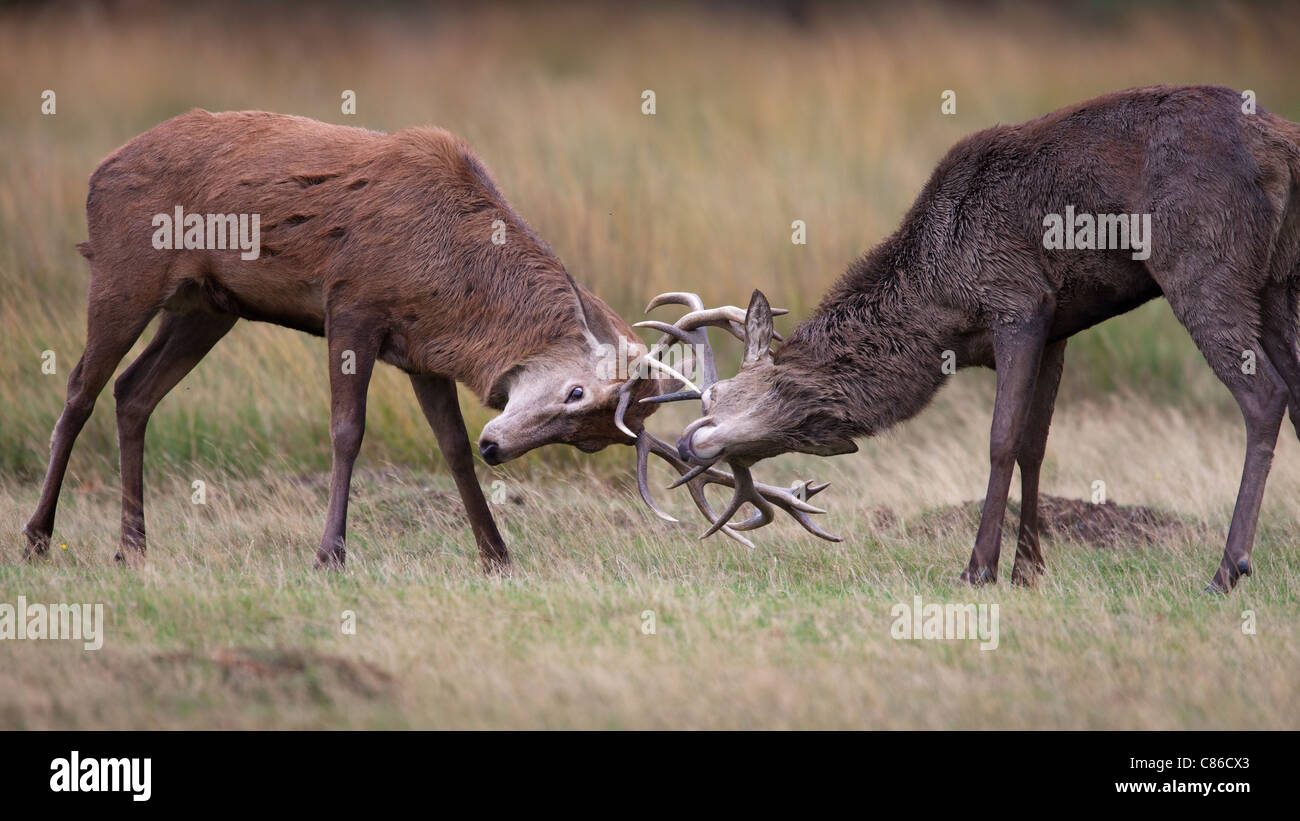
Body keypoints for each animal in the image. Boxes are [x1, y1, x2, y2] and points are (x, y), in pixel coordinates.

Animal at [23, 109, 830, 572]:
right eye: (574, 391)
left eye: (588, 442)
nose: (500, 444)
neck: (451, 280)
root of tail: (99, 170)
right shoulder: (351, 302)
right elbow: (347, 430)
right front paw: (329, 554)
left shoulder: (423, 352)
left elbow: (448, 448)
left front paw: (496, 554)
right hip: (125, 269)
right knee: (79, 390)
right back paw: (37, 537)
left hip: (206, 306)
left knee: (134, 392)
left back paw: (132, 545)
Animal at [660, 85, 1300, 593]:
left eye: (719, 396)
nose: (689, 445)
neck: (940, 306)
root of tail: (1281, 145)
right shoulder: (1059, 329)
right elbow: (1035, 445)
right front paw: (1029, 569)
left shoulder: (1019, 299)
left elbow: (1001, 439)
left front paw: (979, 567)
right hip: (1277, 280)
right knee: (1296, 394)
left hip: (1202, 264)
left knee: (1266, 397)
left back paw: (1226, 571)